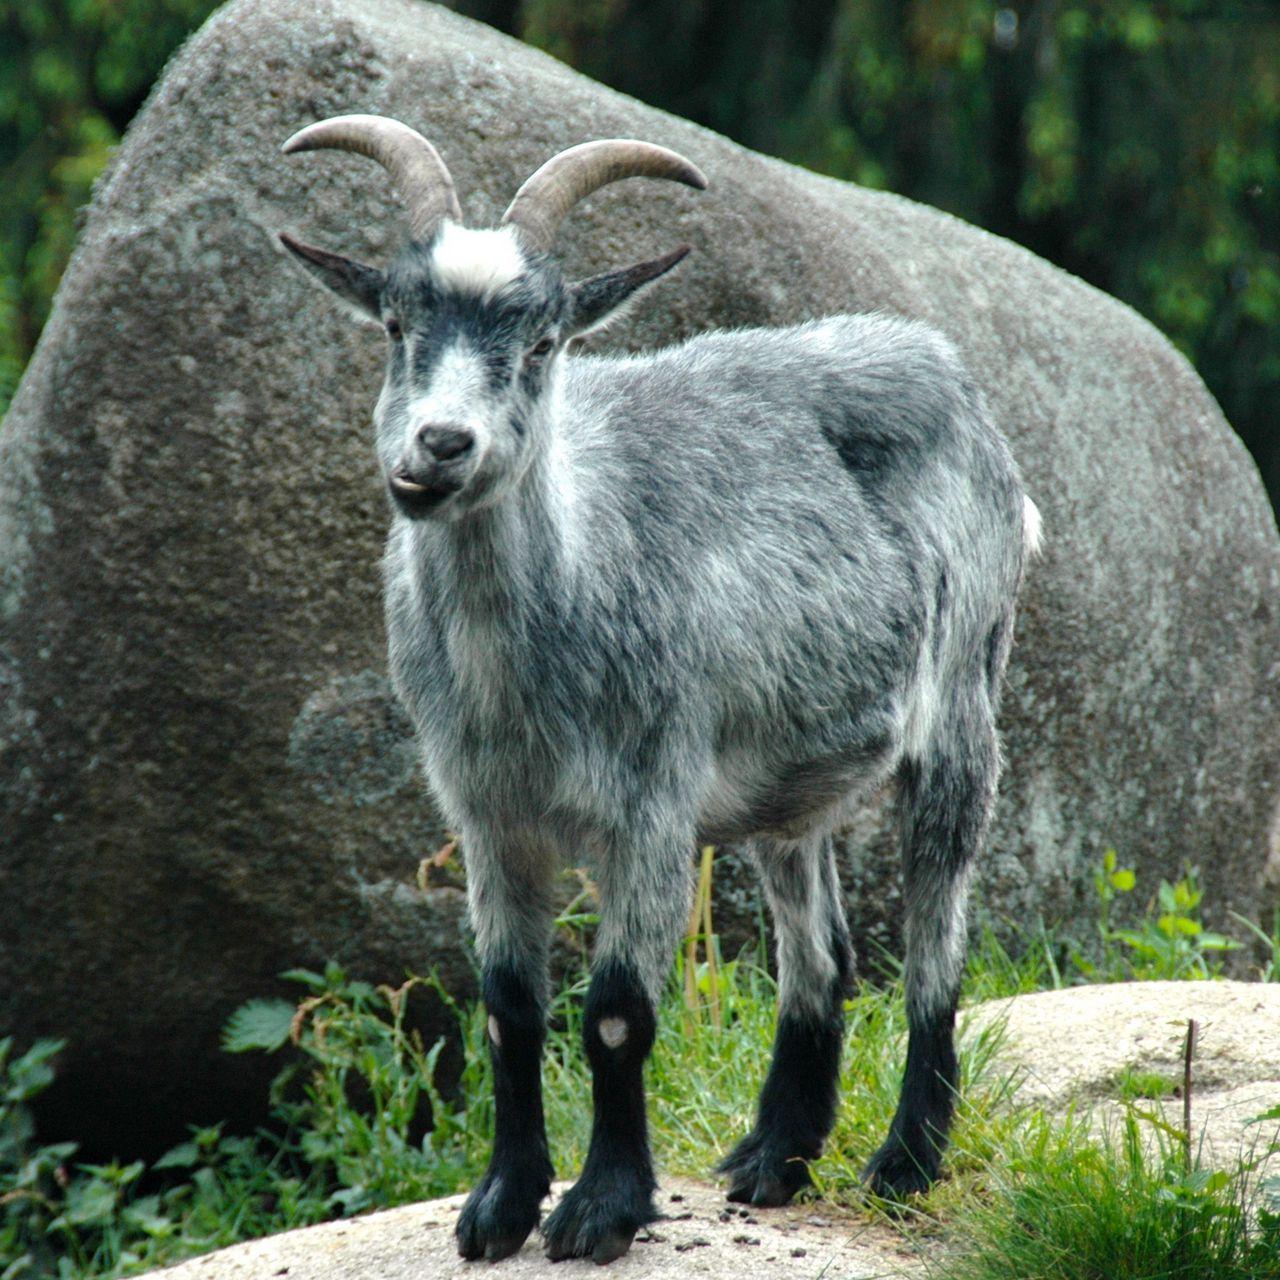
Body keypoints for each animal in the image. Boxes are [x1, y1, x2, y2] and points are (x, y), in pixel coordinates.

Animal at [278, 114, 1039, 1265]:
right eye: (396, 326)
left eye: (542, 344)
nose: (440, 447)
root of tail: (948, 372)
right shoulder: (488, 816)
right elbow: (507, 1007)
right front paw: (498, 1206)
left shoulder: (650, 803)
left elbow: (615, 1012)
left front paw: (601, 1208)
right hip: (787, 779)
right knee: (820, 951)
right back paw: (774, 1158)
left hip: (962, 701)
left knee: (931, 945)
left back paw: (904, 1162)